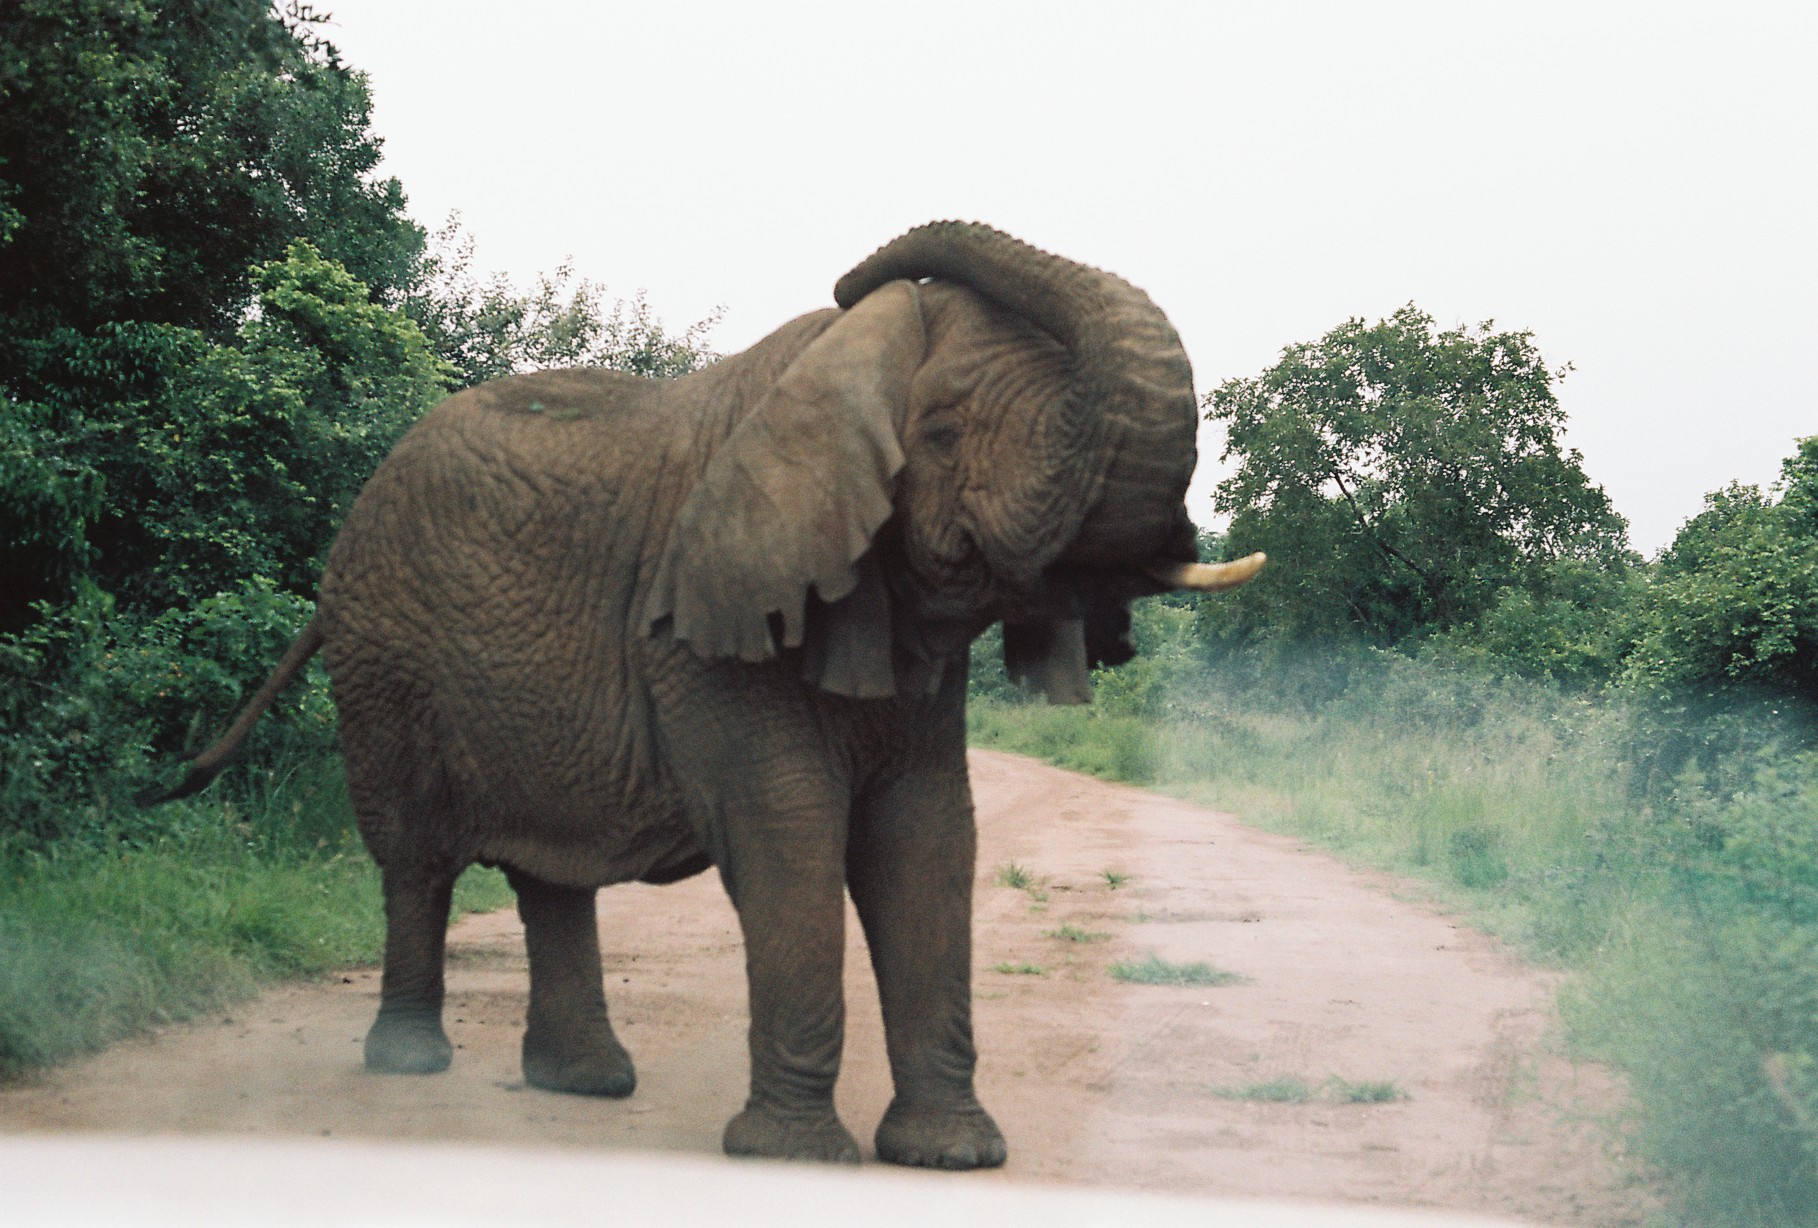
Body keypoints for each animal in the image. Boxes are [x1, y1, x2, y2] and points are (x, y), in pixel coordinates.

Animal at [147, 221, 1265, 1169]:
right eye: (945, 433)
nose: (861, 275)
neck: (835, 360)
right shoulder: (700, 630)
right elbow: (789, 828)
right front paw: (796, 1158)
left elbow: (928, 834)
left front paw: (954, 1156)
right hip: (384, 662)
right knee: (415, 859)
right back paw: (415, 1064)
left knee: (549, 869)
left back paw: (585, 1085)